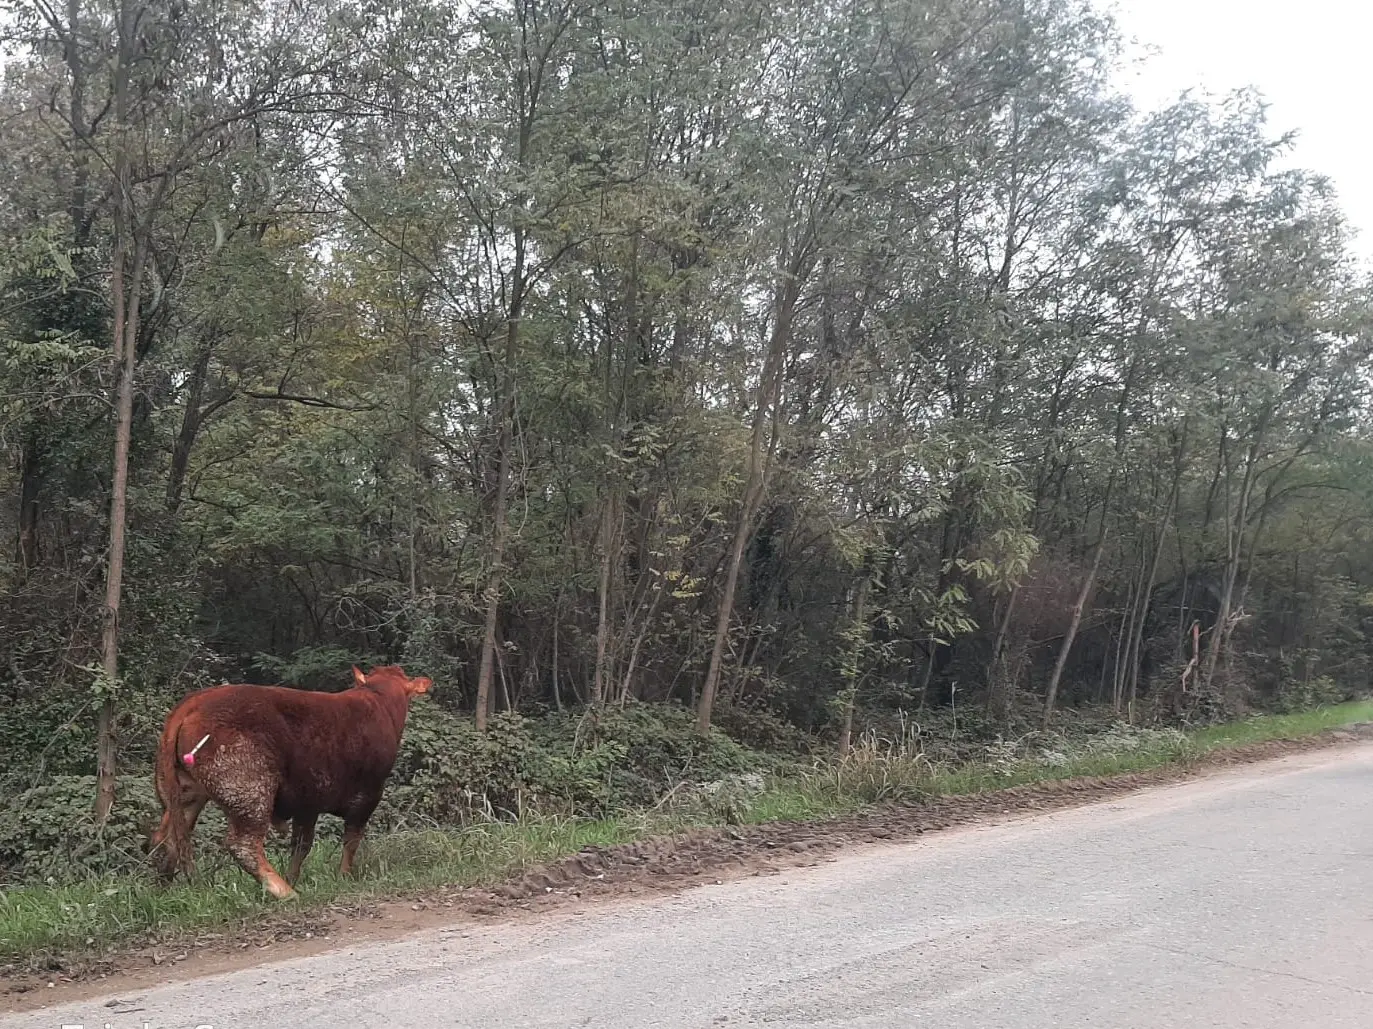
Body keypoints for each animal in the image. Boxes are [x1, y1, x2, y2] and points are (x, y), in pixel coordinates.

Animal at [148, 662, 431, 895]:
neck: (378, 699)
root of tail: (195, 701)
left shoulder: (308, 801)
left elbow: (301, 846)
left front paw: (294, 876)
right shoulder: (366, 797)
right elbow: (350, 841)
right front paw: (343, 876)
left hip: (185, 792)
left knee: (167, 837)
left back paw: (163, 890)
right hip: (250, 789)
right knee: (243, 845)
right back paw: (286, 892)